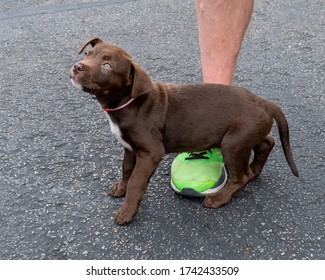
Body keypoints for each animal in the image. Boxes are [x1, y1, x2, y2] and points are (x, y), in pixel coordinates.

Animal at [69, 37, 298, 225]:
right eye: (88, 54)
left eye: (107, 65)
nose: (77, 67)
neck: (128, 102)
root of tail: (264, 102)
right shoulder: (130, 148)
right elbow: (126, 169)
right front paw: (120, 188)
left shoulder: (151, 152)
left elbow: (136, 181)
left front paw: (126, 212)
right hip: (245, 134)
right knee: (266, 143)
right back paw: (256, 170)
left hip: (232, 144)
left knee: (241, 175)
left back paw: (219, 198)